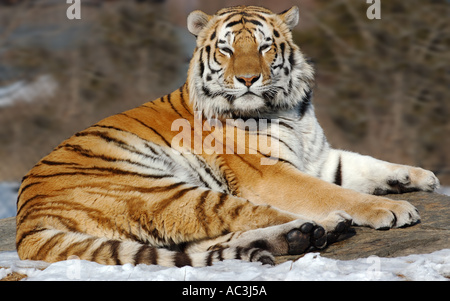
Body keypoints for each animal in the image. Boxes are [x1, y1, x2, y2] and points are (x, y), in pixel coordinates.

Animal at [16, 5, 440, 266]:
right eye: (226, 50)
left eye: (265, 46)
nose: (248, 79)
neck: (288, 107)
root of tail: (26, 224)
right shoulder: (269, 173)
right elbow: (332, 193)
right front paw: (391, 209)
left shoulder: (318, 157)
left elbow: (364, 164)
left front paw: (419, 176)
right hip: (158, 189)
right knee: (245, 215)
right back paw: (327, 227)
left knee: (211, 239)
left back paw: (299, 238)